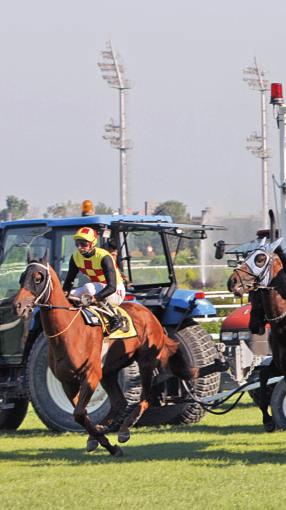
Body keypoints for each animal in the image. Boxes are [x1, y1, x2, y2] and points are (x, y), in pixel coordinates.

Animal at [13, 254, 223, 454]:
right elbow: (81, 414)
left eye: (38, 278)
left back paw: (124, 430)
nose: (18, 305)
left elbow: (80, 413)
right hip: (109, 371)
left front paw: (108, 444)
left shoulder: (91, 375)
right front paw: (99, 440)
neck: (69, 331)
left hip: (145, 362)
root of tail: (150, 314)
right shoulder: (67, 381)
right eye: (22, 277)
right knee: (119, 402)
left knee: (145, 398)